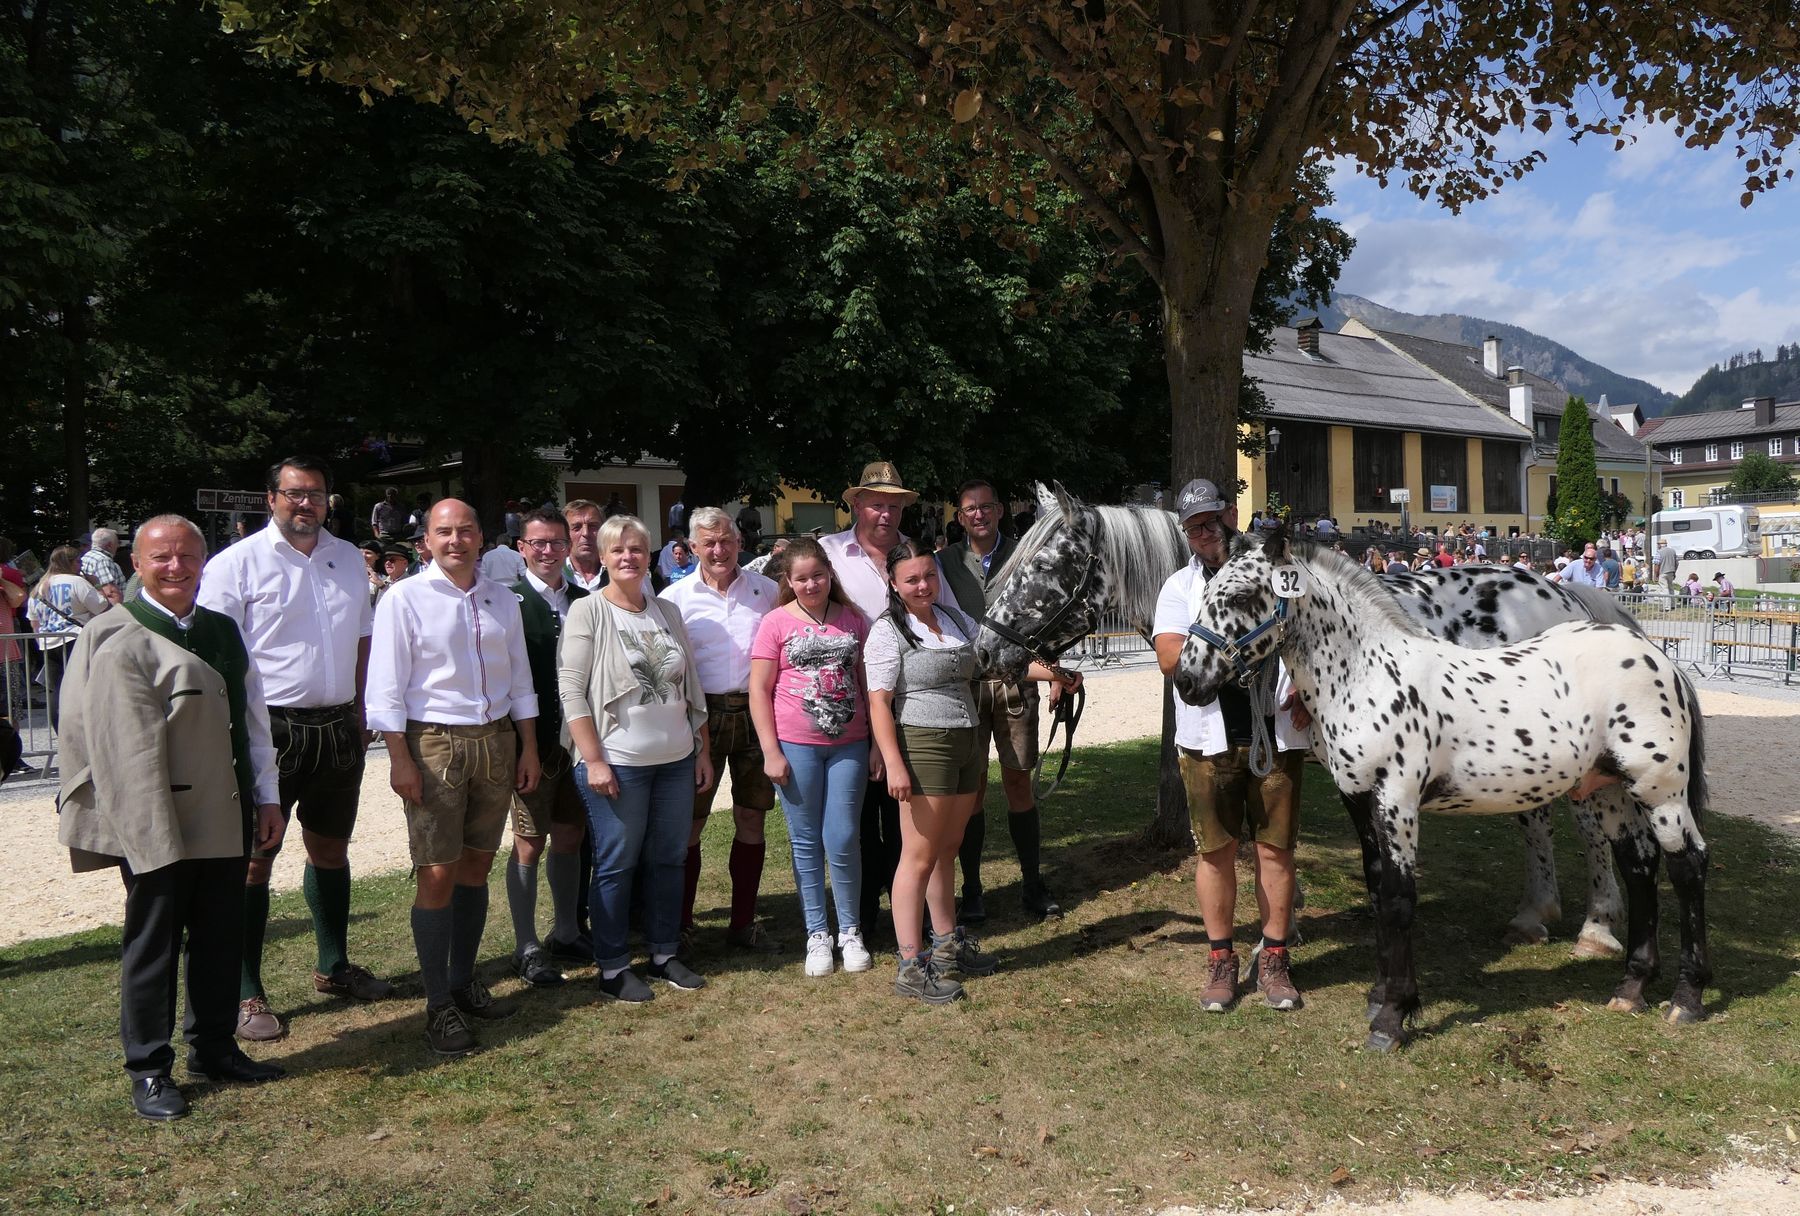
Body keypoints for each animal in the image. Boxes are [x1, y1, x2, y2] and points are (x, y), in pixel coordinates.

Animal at [979, 478, 1641, 956]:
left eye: (1044, 568)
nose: (986, 651)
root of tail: (1563, 593)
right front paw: (1287, 919)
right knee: (1537, 820)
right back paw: (1535, 914)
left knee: (1589, 826)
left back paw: (1597, 928)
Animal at [1173, 528, 1706, 1050]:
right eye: (1207, 590)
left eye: (1242, 595)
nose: (1187, 679)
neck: (1369, 674)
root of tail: (1659, 657)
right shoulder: (1358, 800)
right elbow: (1377, 889)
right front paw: (1380, 995)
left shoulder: (1398, 801)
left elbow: (1399, 898)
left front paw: (1392, 1018)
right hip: (1615, 790)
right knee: (1639, 865)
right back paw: (1631, 987)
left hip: (1660, 792)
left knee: (1687, 865)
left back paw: (1686, 998)